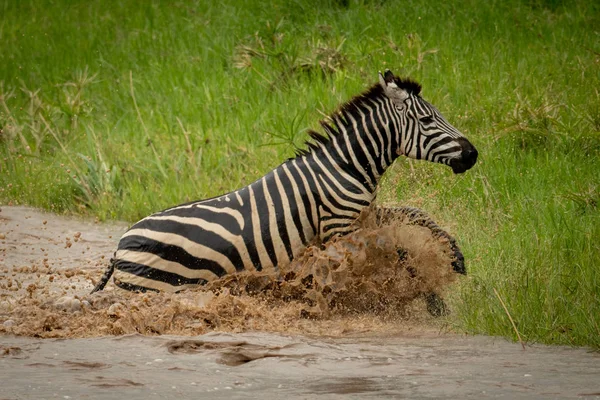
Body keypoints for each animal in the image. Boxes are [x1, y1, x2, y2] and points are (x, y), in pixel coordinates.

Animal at [91, 69, 478, 294]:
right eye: (428, 120)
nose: (473, 154)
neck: (347, 166)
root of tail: (119, 245)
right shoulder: (340, 229)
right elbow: (394, 247)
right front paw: (425, 292)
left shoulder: (364, 215)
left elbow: (414, 214)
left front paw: (456, 257)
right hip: (158, 288)